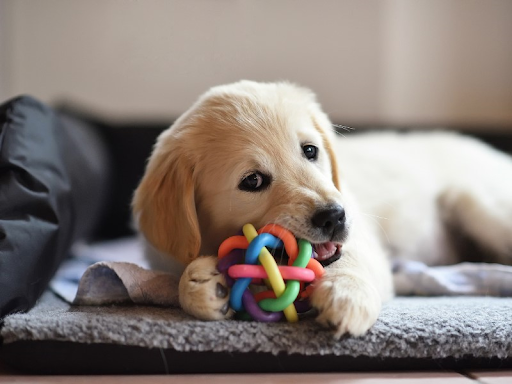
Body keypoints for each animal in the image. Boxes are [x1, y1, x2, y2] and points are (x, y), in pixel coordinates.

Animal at [134, 80, 512, 336]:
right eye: (252, 181)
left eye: (310, 151)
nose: (334, 217)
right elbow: (179, 279)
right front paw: (202, 283)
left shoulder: (362, 235)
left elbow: (351, 260)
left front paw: (346, 295)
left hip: (476, 202)